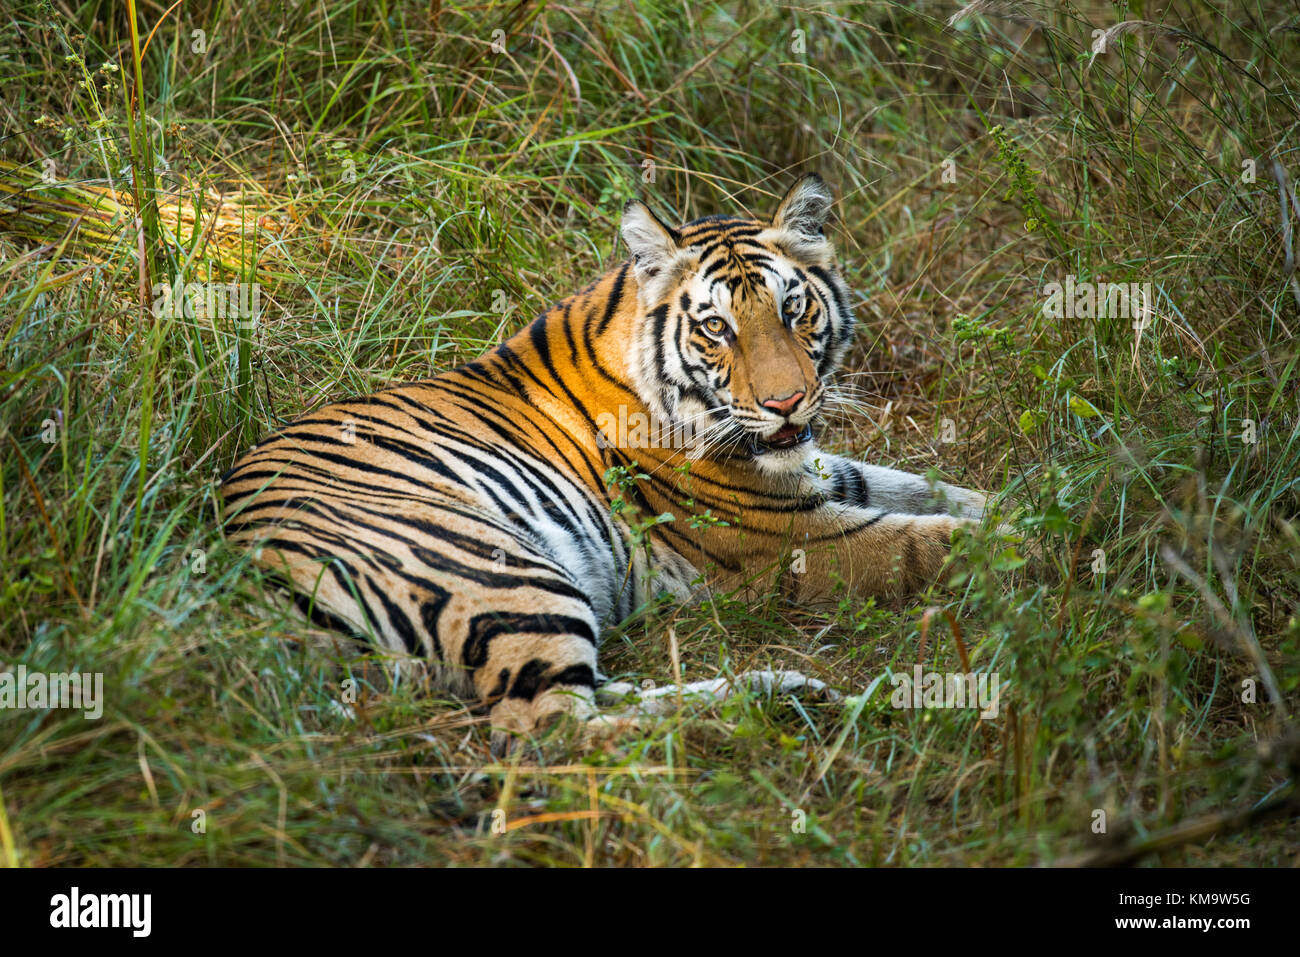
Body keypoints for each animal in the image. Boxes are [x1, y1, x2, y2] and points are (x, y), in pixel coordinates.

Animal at [220, 175, 982, 743]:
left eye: (794, 309)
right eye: (716, 327)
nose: (787, 403)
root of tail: (247, 586)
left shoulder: (811, 475)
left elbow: (934, 491)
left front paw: (1006, 504)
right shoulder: (786, 535)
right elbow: (931, 542)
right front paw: (1014, 549)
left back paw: (788, 690)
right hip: (505, 570)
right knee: (552, 729)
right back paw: (770, 708)